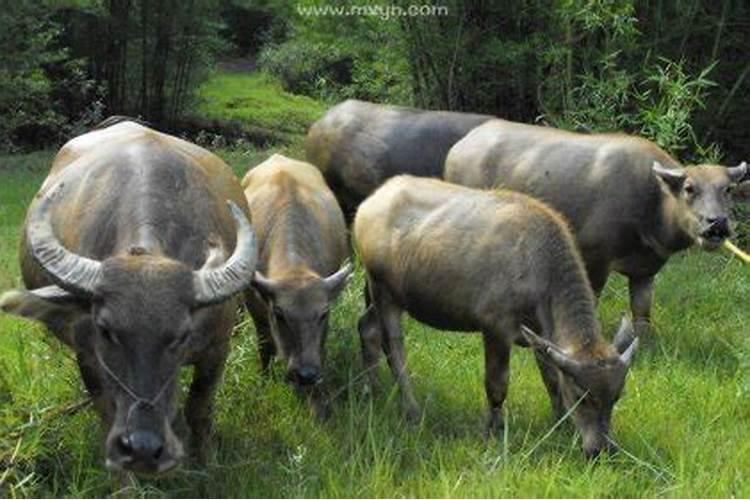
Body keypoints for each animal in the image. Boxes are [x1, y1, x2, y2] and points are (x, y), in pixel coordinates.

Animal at [0, 119, 258, 474]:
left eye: (181, 336)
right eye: (107, 331)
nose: (144, 448)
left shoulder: (217, 348)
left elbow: (199, 409)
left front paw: (207, 464)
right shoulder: (89, 358)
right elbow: (109, 416)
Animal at [244, 154, 356, 420]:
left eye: (323, 314)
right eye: (279, 314)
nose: (305, 374)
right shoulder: (256, 307)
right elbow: (265, 343)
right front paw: (265, 379)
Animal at [444, 119, 748, 334]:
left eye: (727, 189)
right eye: (689, 188)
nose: (717, 222)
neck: (652, 202)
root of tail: (459, 147)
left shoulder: (645, 271)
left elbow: (642, 313)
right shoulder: (595, 259)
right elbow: (592, 299)